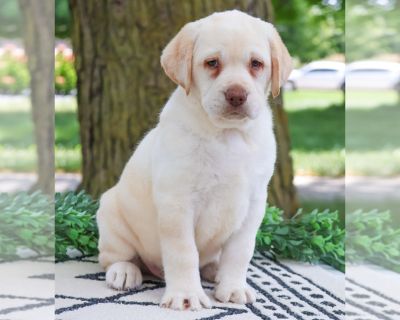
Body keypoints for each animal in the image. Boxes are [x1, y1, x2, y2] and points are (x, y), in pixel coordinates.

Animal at [95, 9, 292, 310]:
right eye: (212, 63)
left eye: (256, 64)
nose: (237, 95)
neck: (228, 134)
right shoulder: (177, 203)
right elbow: (183, 253)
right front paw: (186, 295)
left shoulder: (254, 204)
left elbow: (240, 251)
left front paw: (233, 287)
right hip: (111, 216)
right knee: (115, 257)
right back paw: (124, 271)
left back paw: (215, 270)